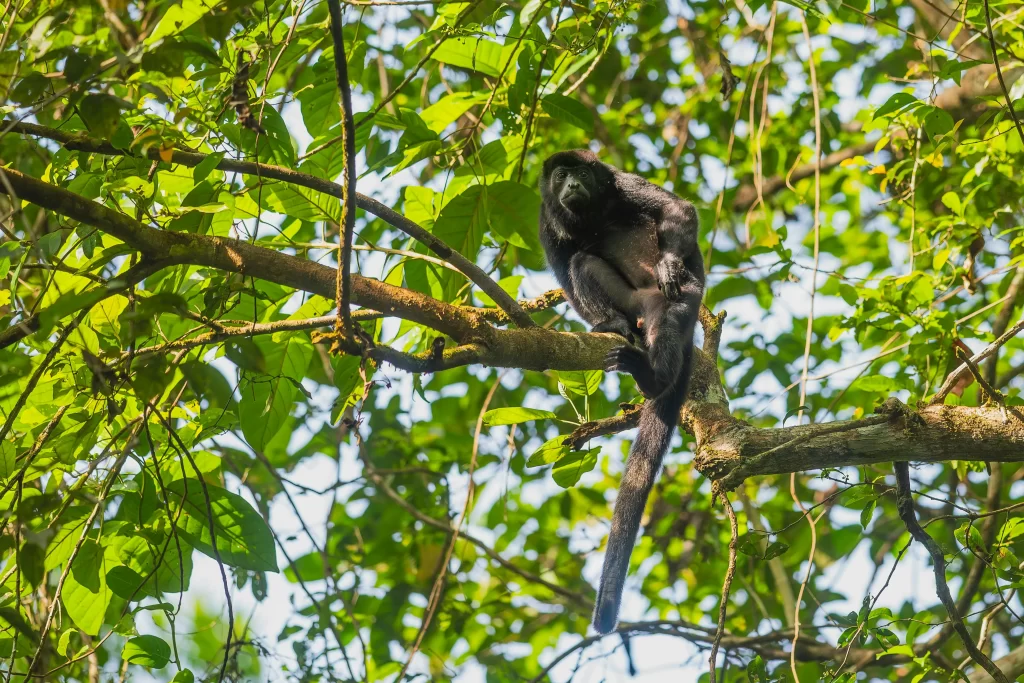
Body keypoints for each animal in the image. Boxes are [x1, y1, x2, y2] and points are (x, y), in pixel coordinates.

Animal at [538, 149, 705, 635]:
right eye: (561, 175)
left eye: (581, 172)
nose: (573, 183)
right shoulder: (545, 222)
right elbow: (566, 271)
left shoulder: (619, 181)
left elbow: (676, 208)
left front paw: (669, 261)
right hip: (630, 303)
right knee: (582, 265)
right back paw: (613, 325)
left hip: (676, 302)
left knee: (674, 308)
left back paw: (654, 375)